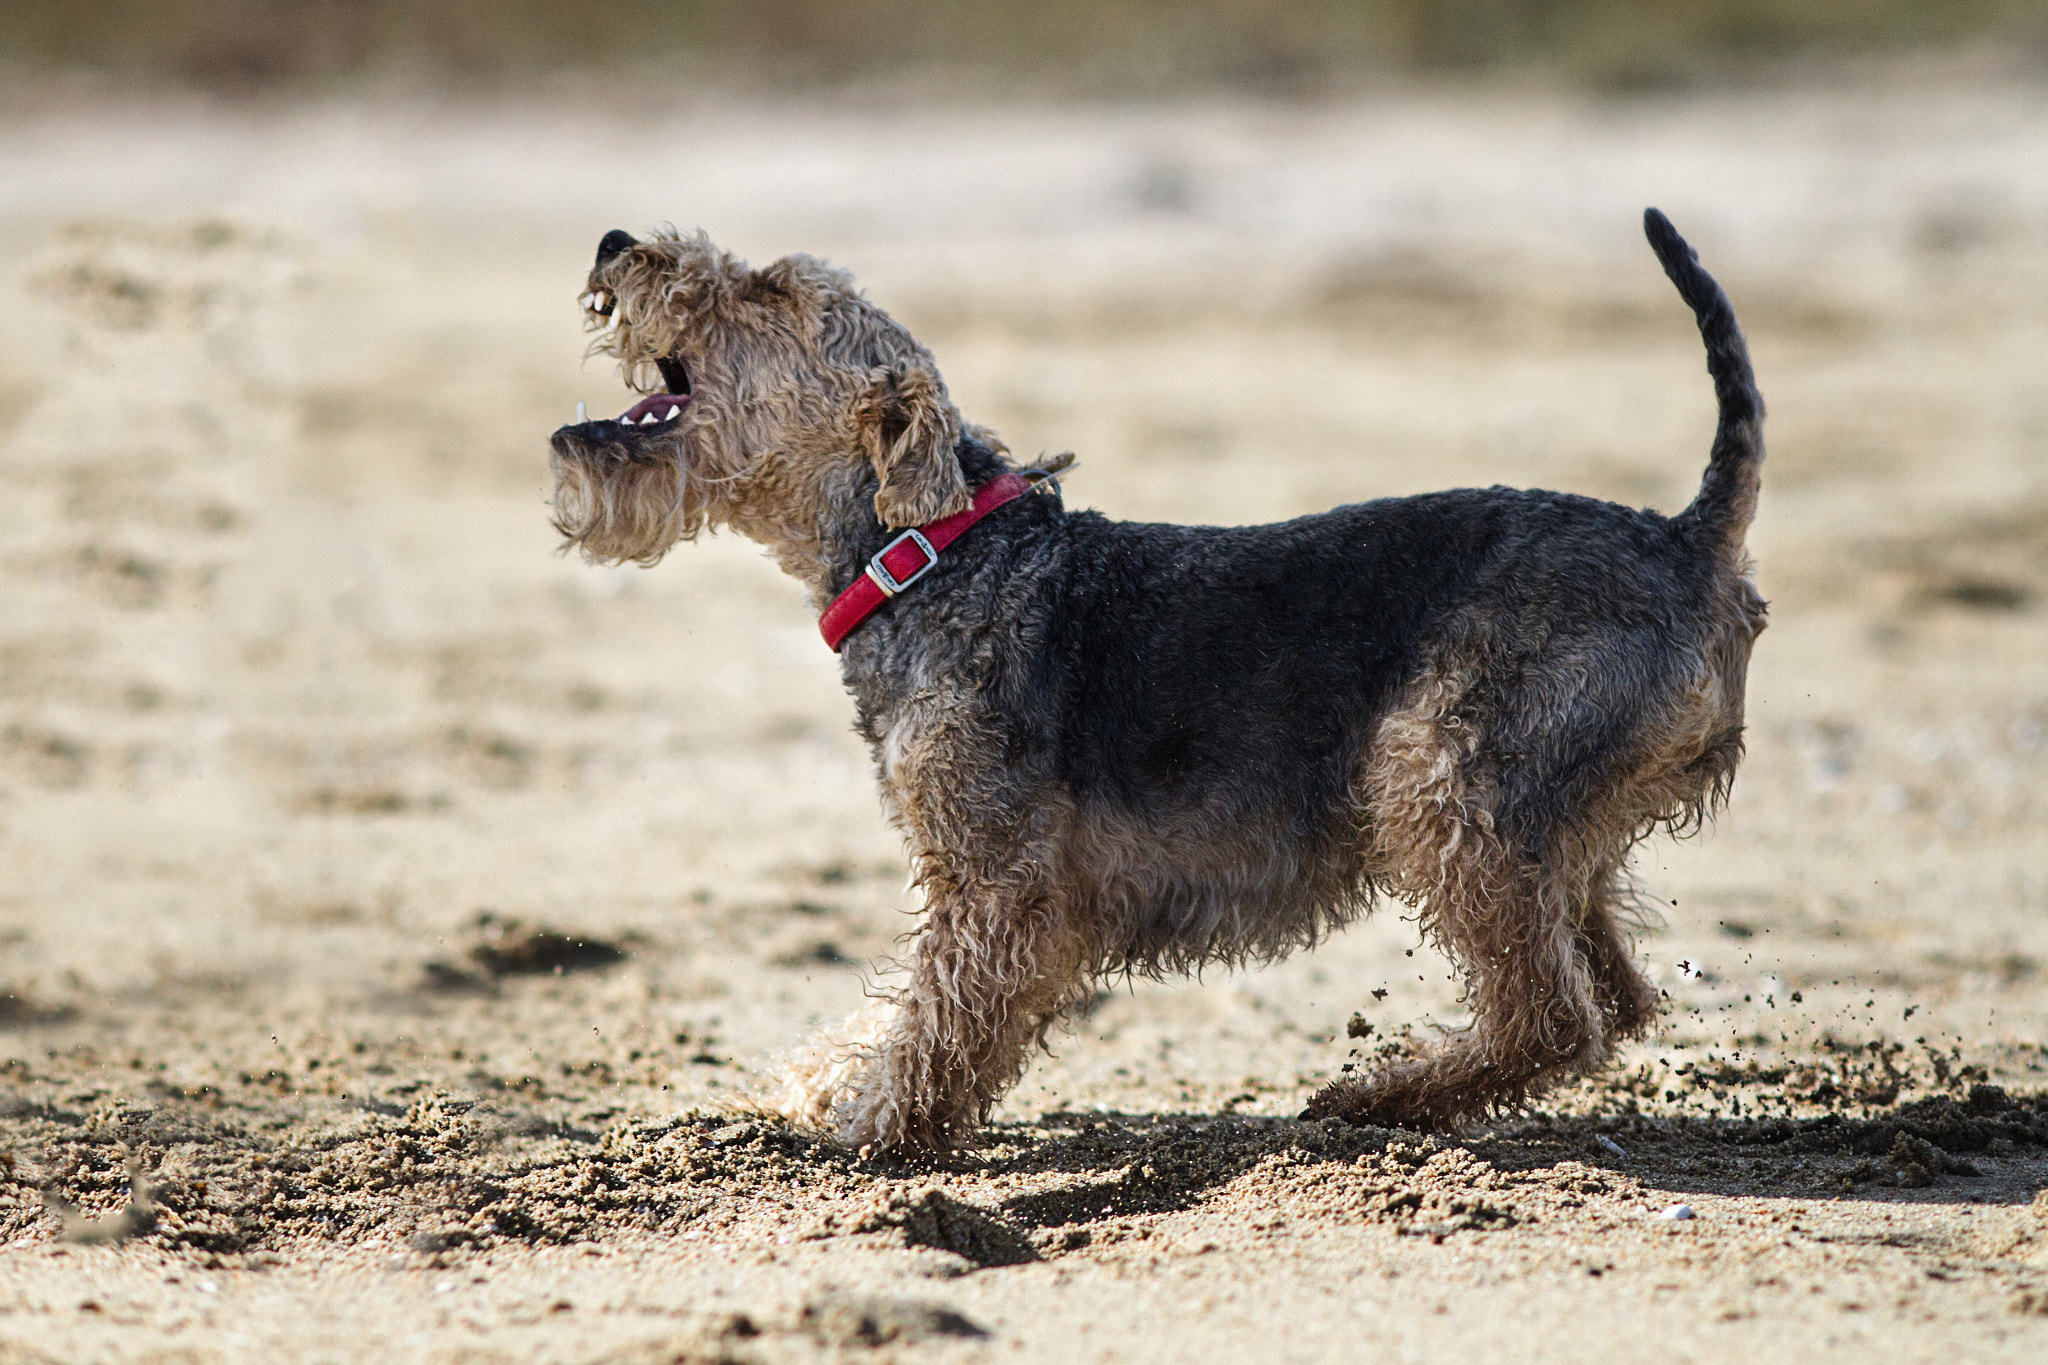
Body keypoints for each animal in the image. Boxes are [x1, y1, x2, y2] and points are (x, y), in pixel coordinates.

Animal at [544, 210, 1761, 1154]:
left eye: (773, 291)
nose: (611, 243)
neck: (930, 555)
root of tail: (1686, 542)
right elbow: (906, 1013)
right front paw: (817, 1085)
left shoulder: (999, 882)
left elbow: (938, 1019)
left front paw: (872, 1123)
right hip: (1549, 831)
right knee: (1610, 998)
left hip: (1440, 776)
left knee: (1551, 1015)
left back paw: (1373, 1098)